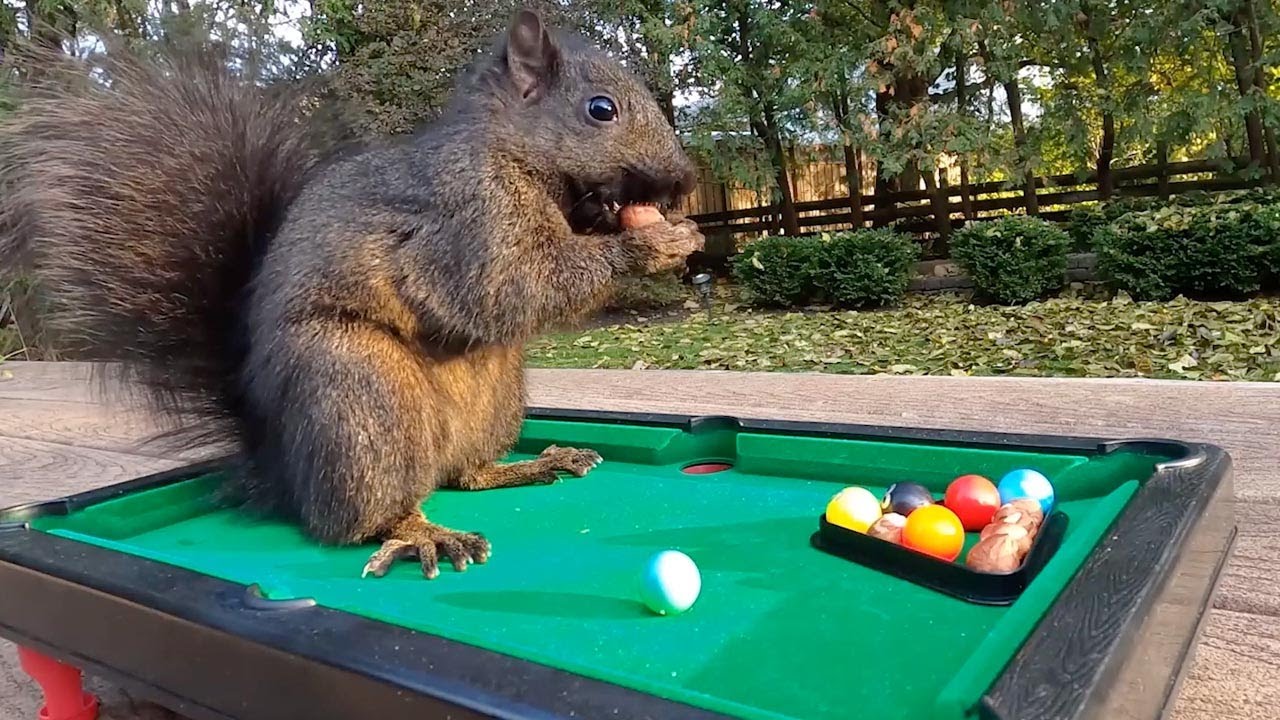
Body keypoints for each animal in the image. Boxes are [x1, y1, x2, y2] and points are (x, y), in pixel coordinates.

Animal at [0, 9, 704, 579]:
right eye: (600, 109)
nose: (684, 181)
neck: (512, 152)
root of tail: (284, 471)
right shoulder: (465, 219)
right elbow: (501, 290)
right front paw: (652, 244)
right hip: (360, 389)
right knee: (361, 518)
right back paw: (421, 533)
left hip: (497, 394)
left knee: (467, 474)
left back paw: (534, 462)